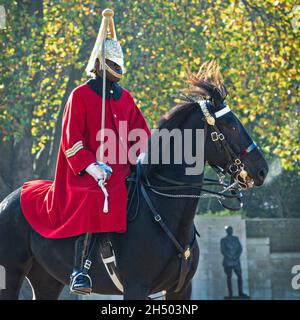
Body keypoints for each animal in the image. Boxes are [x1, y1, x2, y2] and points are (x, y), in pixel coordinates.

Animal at [0, 67, 268, 300]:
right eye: (231, 125)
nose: (262, 170)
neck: (164, 211)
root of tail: (10, 197)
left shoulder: (181, 289)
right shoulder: (136, 287)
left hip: (47, 280)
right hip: (11, 275)